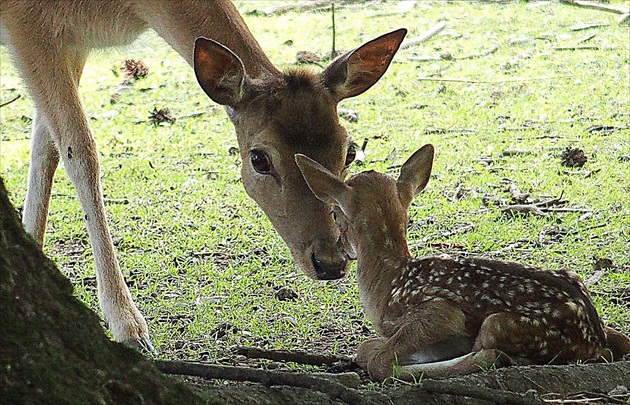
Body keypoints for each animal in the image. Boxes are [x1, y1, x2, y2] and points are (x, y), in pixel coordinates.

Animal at [0, 0, 408, 350]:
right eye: (259, 159)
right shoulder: (27, 25)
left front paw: (32, 251)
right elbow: (80, 151)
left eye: (349, 151)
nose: (330, 261)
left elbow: (47, 147)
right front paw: (128, 326)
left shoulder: (72, 41)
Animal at [296, 146, 630, 382]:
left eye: (335, 214)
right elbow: (366, 348)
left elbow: (378, 360)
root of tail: (594, 337)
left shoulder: (438, 312)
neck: (390, 279)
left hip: (499, 325)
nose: (340, 251)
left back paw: (497, 357)